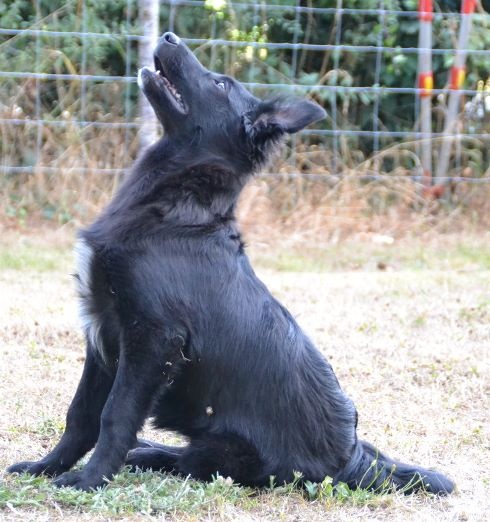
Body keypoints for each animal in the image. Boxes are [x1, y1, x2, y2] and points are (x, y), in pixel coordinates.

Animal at [6, 32, 452, 492]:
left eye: (220, 84)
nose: (168, 36)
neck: (178, 206)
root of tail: (352, 458)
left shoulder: (152, 337)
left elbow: (114, 415)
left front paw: (89, 480)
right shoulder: (103, 332)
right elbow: (80, 414)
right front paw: (46, 467)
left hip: (224, 453)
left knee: (190, 462)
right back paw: (143, 452)